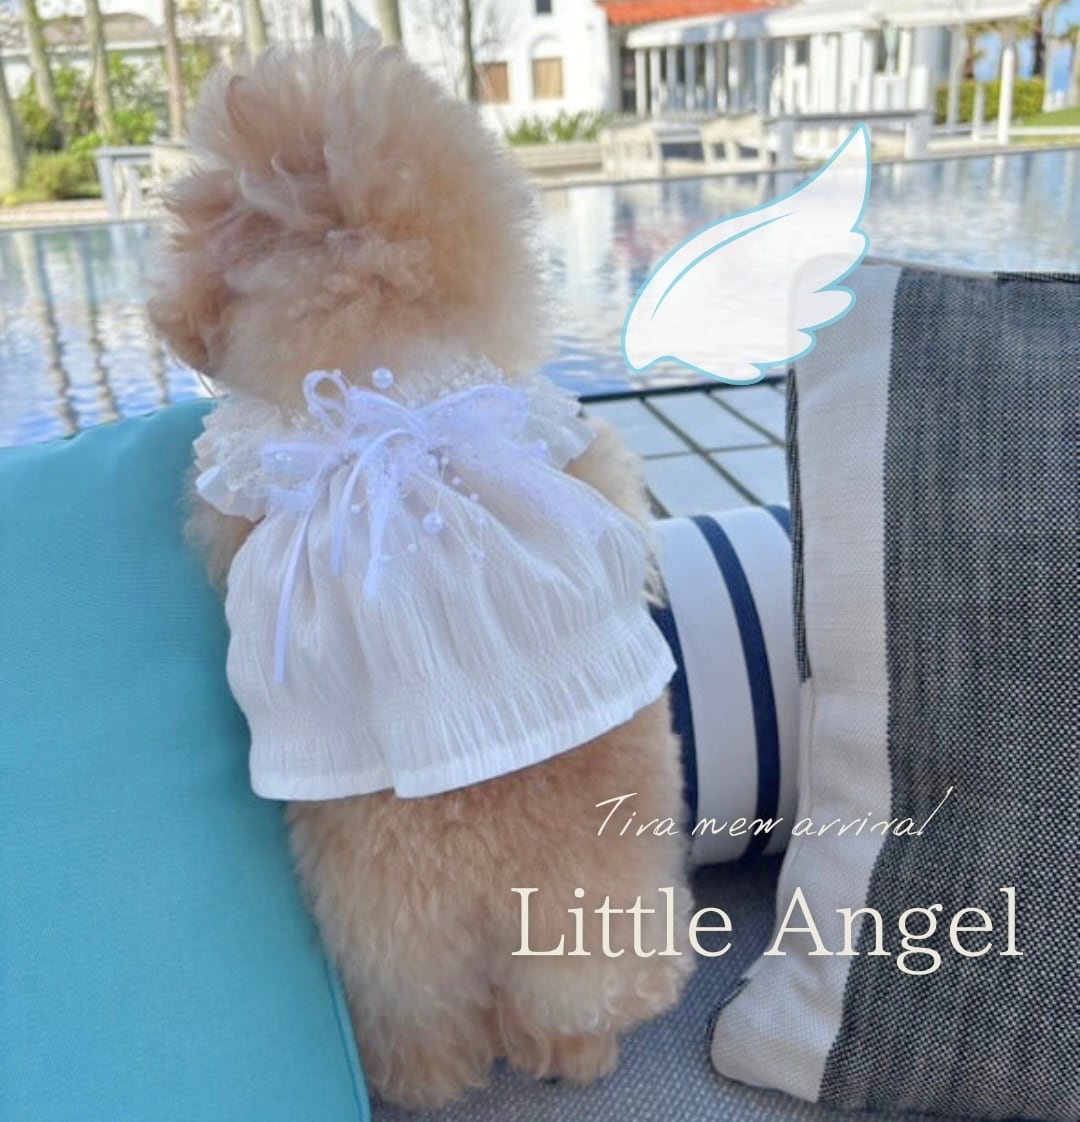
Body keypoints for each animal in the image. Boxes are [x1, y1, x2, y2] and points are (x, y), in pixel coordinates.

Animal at [151, 41, 694, 1109]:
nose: (169, 321)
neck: (389, 380)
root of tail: (493, 873)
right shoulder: (563, 430)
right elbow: (612, 487)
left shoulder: (238, 461)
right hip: (566, 915)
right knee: (565, 998)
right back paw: (560, 1057)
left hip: (390, 937)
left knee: (432, 1024)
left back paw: (427, 1082)